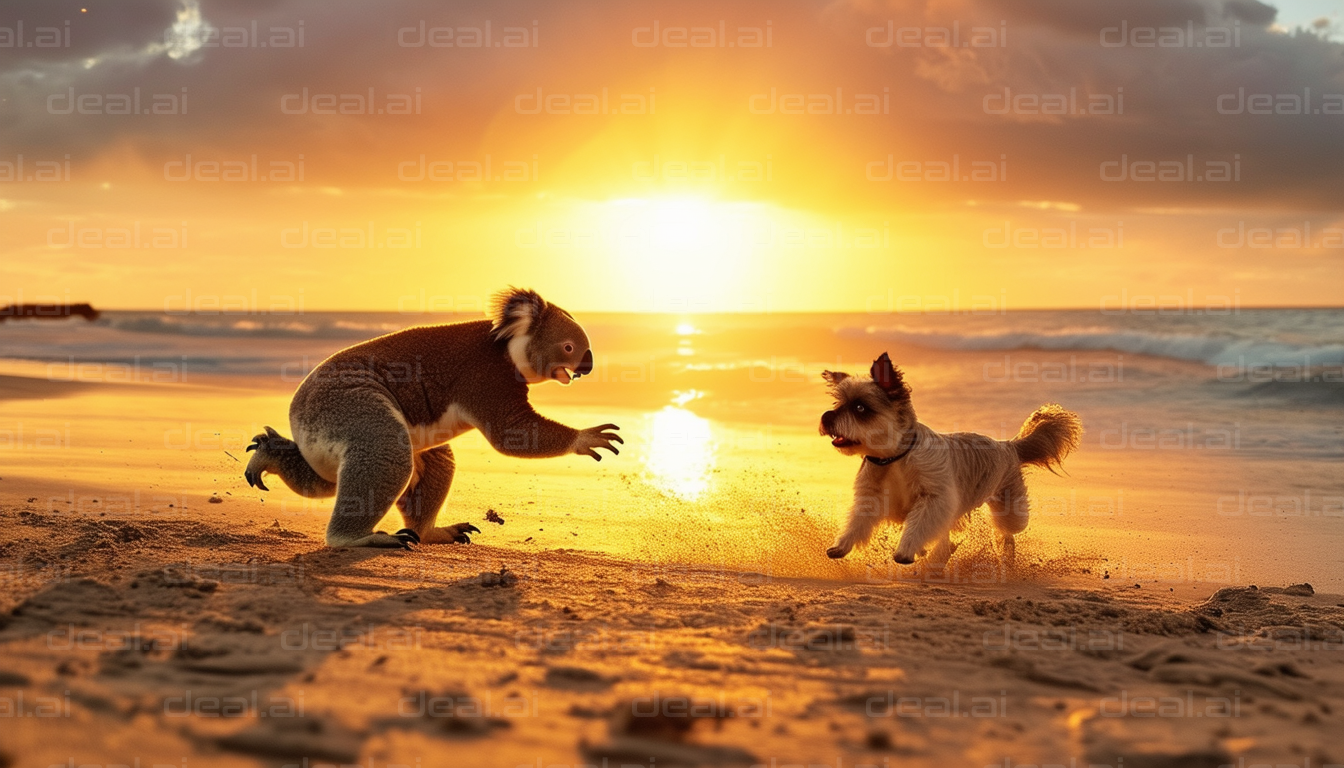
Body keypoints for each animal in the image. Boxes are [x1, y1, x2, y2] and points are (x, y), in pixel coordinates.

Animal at [817, 355, 1080, 564]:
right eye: (838, 403)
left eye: (860, 408)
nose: (826, 417)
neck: (894, 458)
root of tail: (1008, 446)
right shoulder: (871, 497)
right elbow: (856, 523)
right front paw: (842, 545)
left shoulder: (934, 501)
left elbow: (917, 527)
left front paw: (906, 551)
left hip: (1010, 510)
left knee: (1007, 531)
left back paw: (1004, 549)